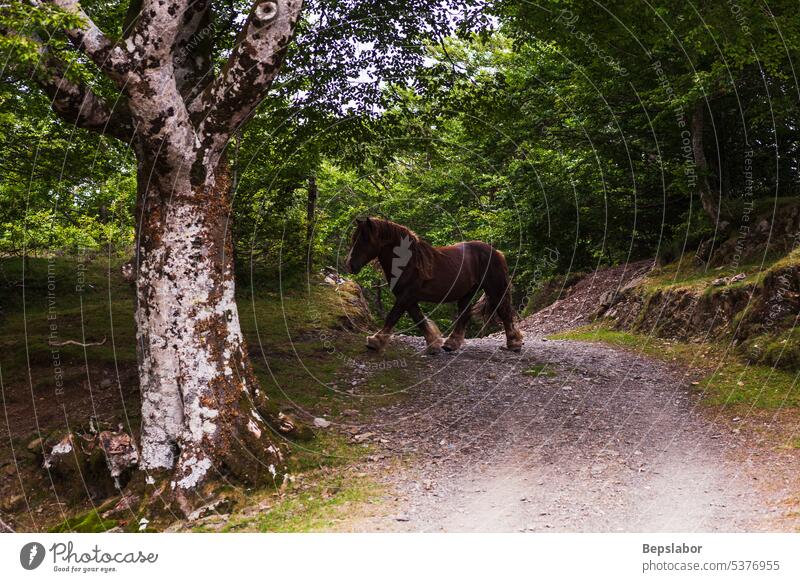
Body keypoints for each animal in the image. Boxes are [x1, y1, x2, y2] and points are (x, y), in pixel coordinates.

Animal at [346, 219, 524, 356]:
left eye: (364, 240)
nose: (350, 265)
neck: (410, 262)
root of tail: (496, 251)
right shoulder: (408, 298)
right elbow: (418, 318)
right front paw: (433, 344)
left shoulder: (407, 295)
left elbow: (393, 316)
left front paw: (375, 341)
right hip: (468, 292)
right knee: (464, 315)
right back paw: (451, 344)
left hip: (494, 289)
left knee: (504, 312)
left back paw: (514, 343)